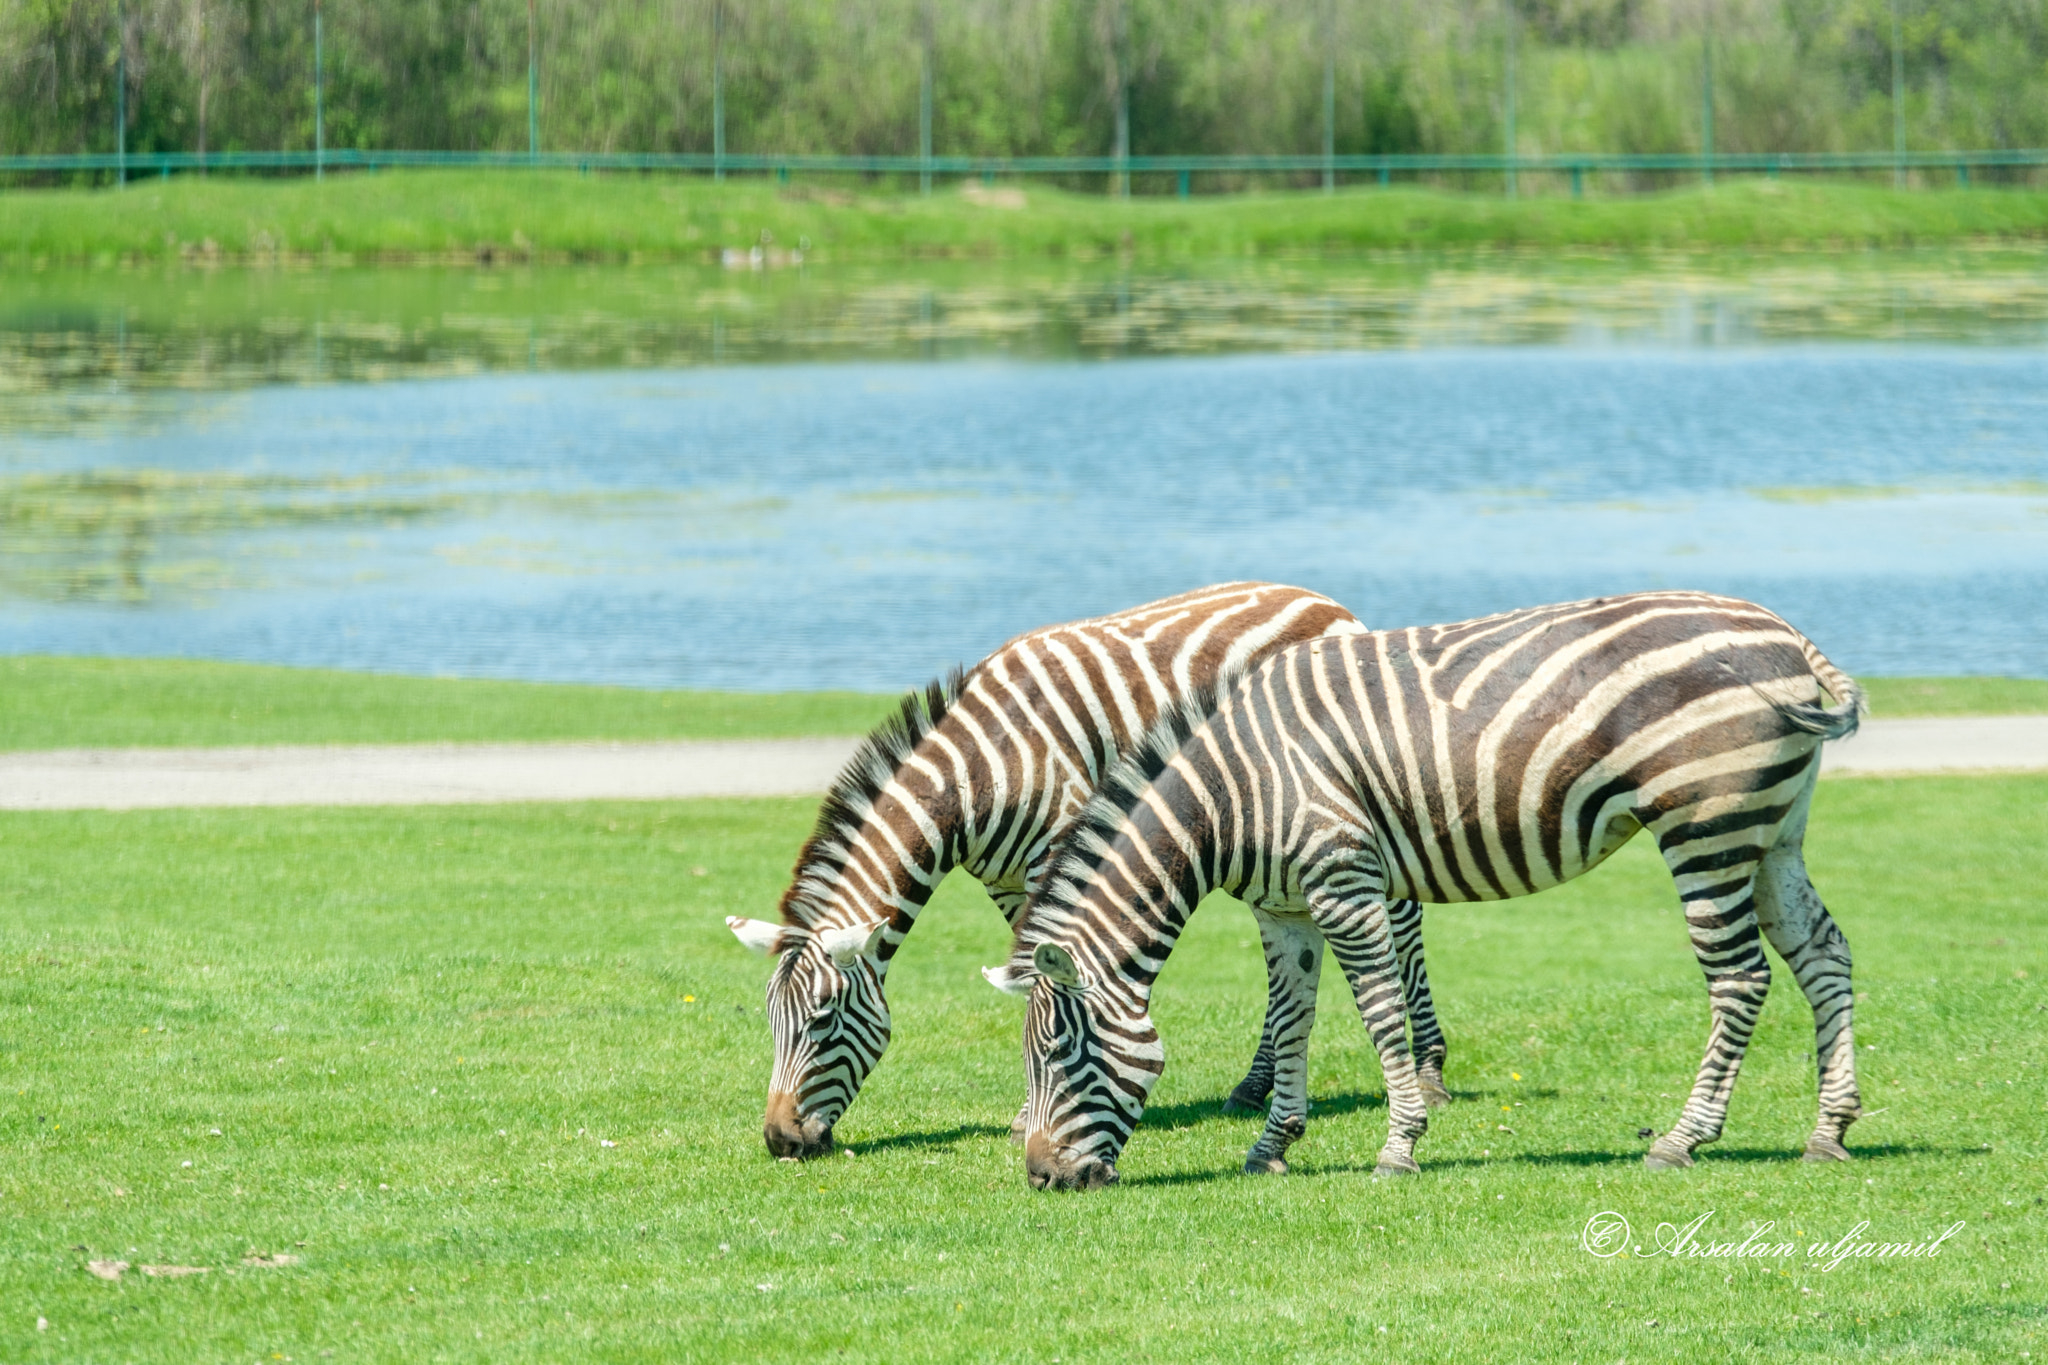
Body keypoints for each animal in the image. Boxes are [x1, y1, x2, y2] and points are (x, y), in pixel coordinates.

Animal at [720, 581, 1441, 1162]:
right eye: (771, 1022)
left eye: (822, 1022)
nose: (780, 1141)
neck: (980, 772)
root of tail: (1328, 602)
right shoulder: (1007, 879)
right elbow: (1035, 972)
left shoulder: (1055, 854)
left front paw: (1027, 1113)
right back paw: (1254, 1083)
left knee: (1404, 918)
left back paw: (1431, 1070)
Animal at [983, 593, 1867, 1186]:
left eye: (1058, 1053)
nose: (1041, 1177)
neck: (1231, 793)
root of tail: (1783, 629)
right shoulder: (1284, 908)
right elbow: (1294, 1019)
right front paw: (1272, 1145)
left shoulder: (1342, 883)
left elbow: (1377, 1013)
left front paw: (1398, 1144)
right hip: (1772, 832)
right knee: (1823, 953)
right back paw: (1829, 1129)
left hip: (1706, 828)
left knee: (1740, 978)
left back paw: (1684, 1137)